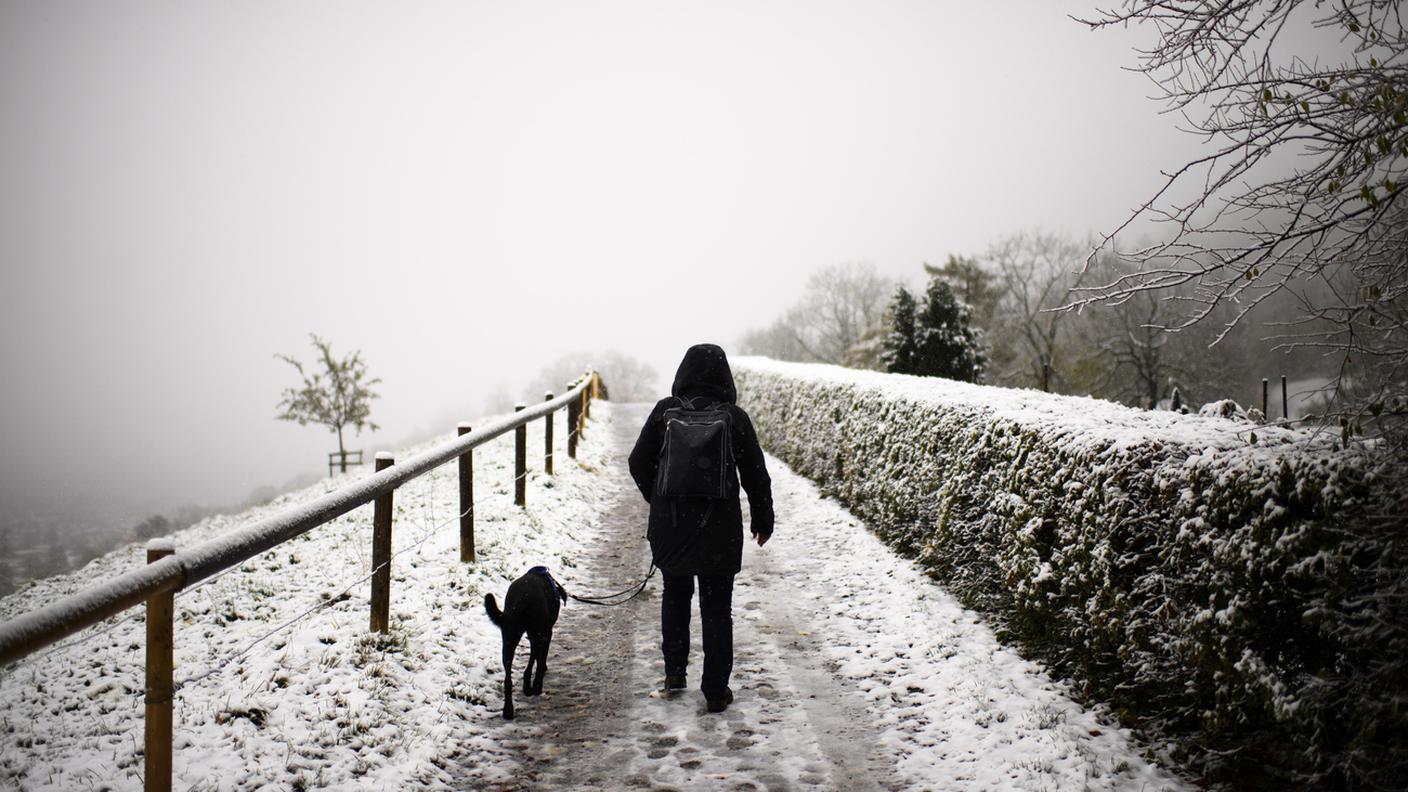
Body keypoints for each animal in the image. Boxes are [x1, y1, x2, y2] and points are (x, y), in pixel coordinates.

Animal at [484, 560, 566, 715]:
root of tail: (524, 598)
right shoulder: (546, 634)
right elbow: (540, 658)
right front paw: (540, 675)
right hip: (539, 634)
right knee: (532, 661)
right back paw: (534, 687)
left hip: (509, 639)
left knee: (508, 679)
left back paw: (508, 710)